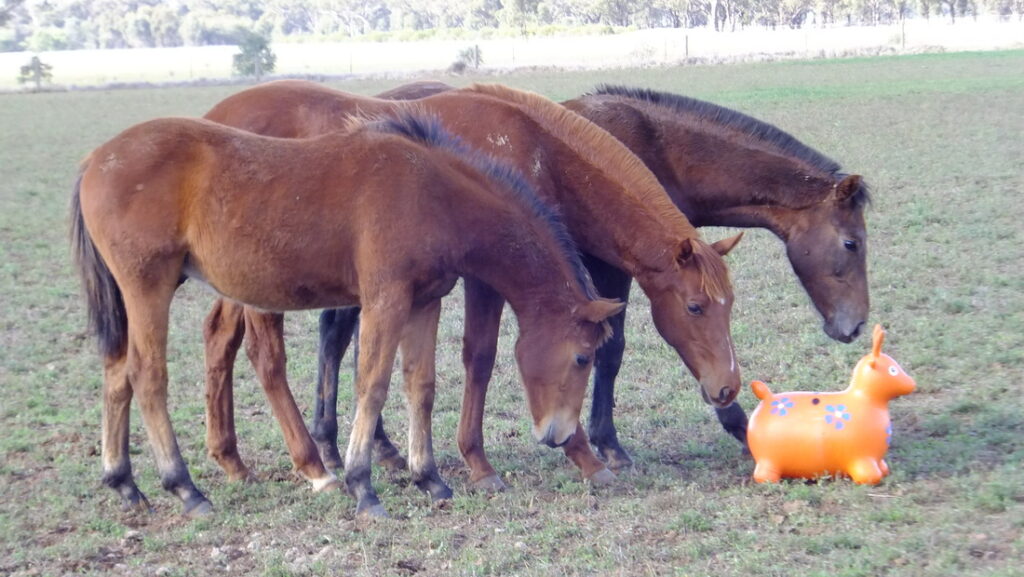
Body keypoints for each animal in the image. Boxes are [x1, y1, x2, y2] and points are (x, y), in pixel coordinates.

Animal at [71, 111, 624, 518]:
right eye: (582, 357)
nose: (556, 435)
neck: (433, 192)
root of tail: (96, 158)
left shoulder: (424, 301)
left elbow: (420, 385)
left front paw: (430, 479)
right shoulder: (386, 299)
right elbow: (372, 384)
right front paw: (364, 486)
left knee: (116, 373)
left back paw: (125, 484)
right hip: (149, 286)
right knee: (147, 376)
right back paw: (186, 488)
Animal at [199, 80, 742, 490]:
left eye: (729, 306)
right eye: (695, 307)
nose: (729, 387)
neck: (536, 150)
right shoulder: (488, 277)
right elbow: (480, 358)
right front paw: (491, 462)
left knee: (221, 338)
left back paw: (234, 459)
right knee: (266, 357)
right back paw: (313, 463)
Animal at [562, 85, 871, 452]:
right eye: (851, 243)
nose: (857, 324)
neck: (651, 149)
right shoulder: (615, 267)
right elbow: (613, 350)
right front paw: (608, 441)